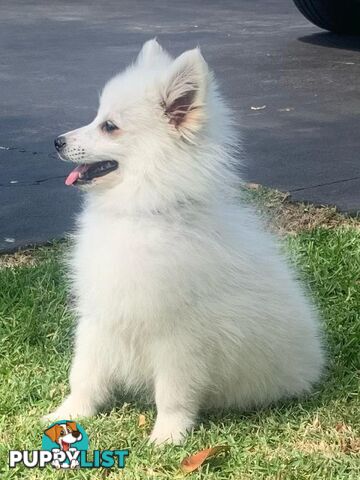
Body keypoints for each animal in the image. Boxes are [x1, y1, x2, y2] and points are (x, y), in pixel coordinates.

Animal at [44, 39, 324, 444]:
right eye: (97, 117)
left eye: (109, 126)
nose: (57, 141)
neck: (142, 212)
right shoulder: (100, 314)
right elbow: (84, 373)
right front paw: (68, 414)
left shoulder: (179, 336)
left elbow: (173, 392)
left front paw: (167, 437)